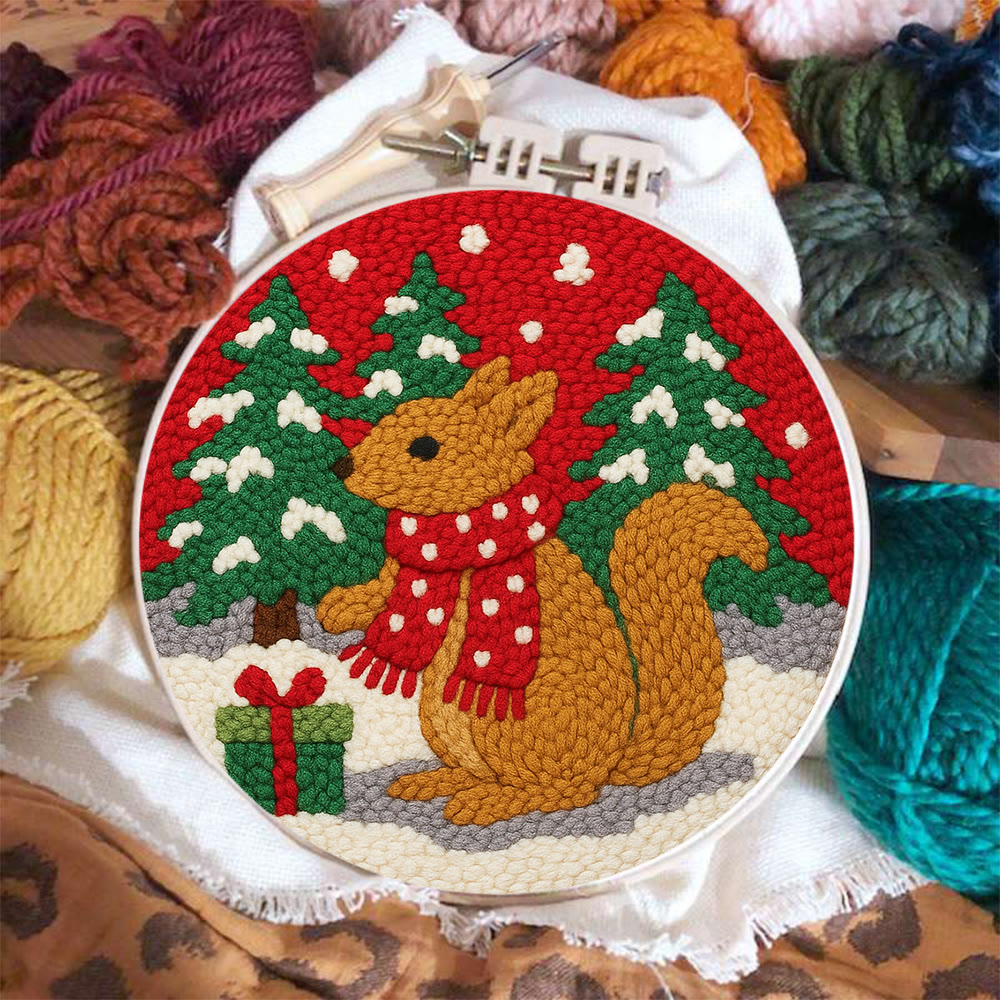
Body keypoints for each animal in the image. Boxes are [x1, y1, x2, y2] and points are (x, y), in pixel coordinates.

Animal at [318, 356, 769, 827]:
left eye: (425, 447)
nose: (342, 466)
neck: (462, 531)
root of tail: (611, 761)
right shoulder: (397, 573)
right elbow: (380, 592)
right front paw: (338, 606)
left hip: (501, 719)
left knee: (561, 792)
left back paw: (488, 802)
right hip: (442, 718)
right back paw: (436, 782)